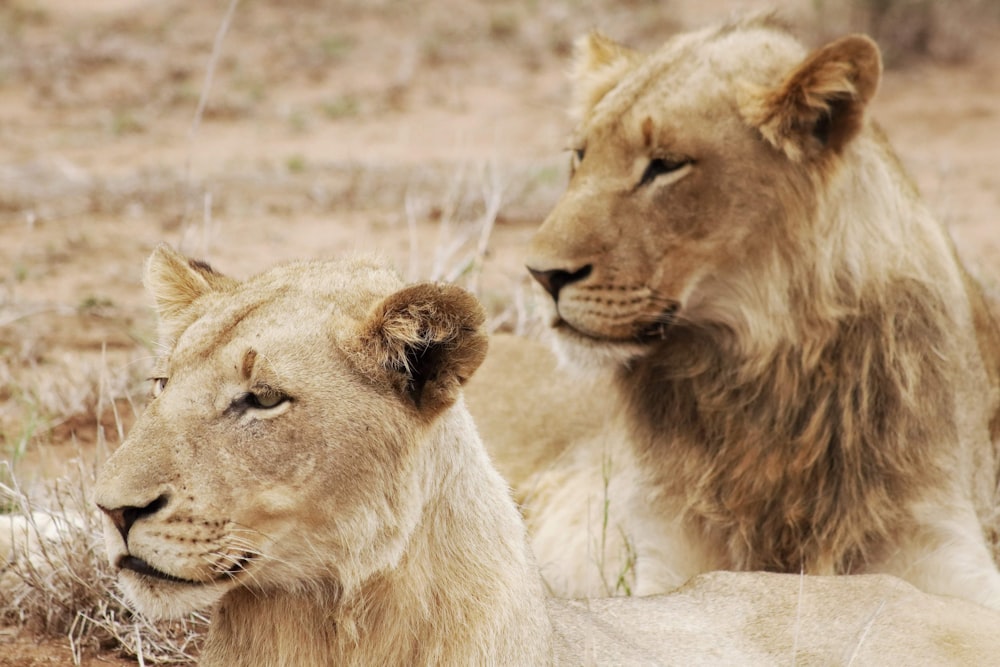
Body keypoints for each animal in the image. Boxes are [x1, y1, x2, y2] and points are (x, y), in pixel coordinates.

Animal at [470, 15, 1000, 612]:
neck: (766, 375)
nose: (542, 275)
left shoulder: (943, 544)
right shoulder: (665, 560)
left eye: (666, 166)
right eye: (580, 155)